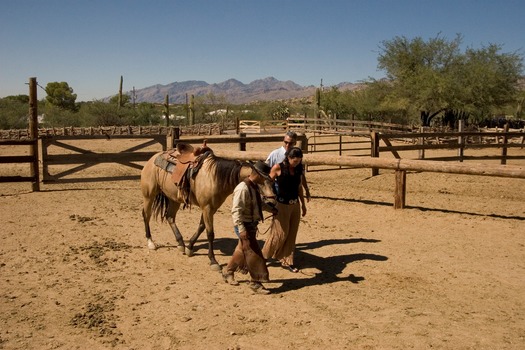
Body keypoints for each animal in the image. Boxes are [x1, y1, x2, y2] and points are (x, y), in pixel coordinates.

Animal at [141, 148, 276, 270]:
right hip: (149, 195)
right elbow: (210, 233)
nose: (272, 202)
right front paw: (213, 261)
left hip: (174, 198)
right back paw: (151, 242)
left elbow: (201, 227)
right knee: (146, 215)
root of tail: (153, 158)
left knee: (170, 217)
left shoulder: (211, 208)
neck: (214, 177)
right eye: (259, 183)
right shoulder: (207, 208)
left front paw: (190, 247)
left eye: (272, 182)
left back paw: (181, 244)